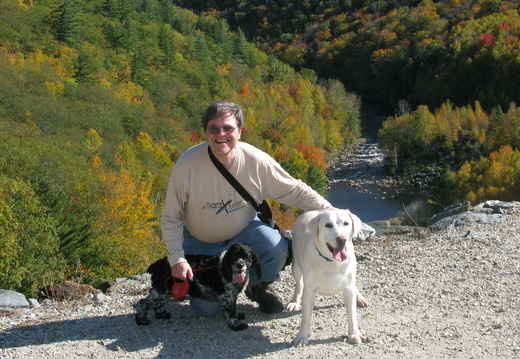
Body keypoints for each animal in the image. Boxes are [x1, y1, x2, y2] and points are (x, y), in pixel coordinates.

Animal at [286, 210, 368, 348]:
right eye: (328, 225)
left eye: (346, 223)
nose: (342, 239)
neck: (332, 262)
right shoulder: (309, 292)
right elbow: (305, 318)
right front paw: (302, 337)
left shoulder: (348, 289)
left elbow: (352, 315)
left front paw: (354, 334)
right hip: (295, 266)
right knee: (299, 284)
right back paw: (294, 302)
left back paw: (360, 298)